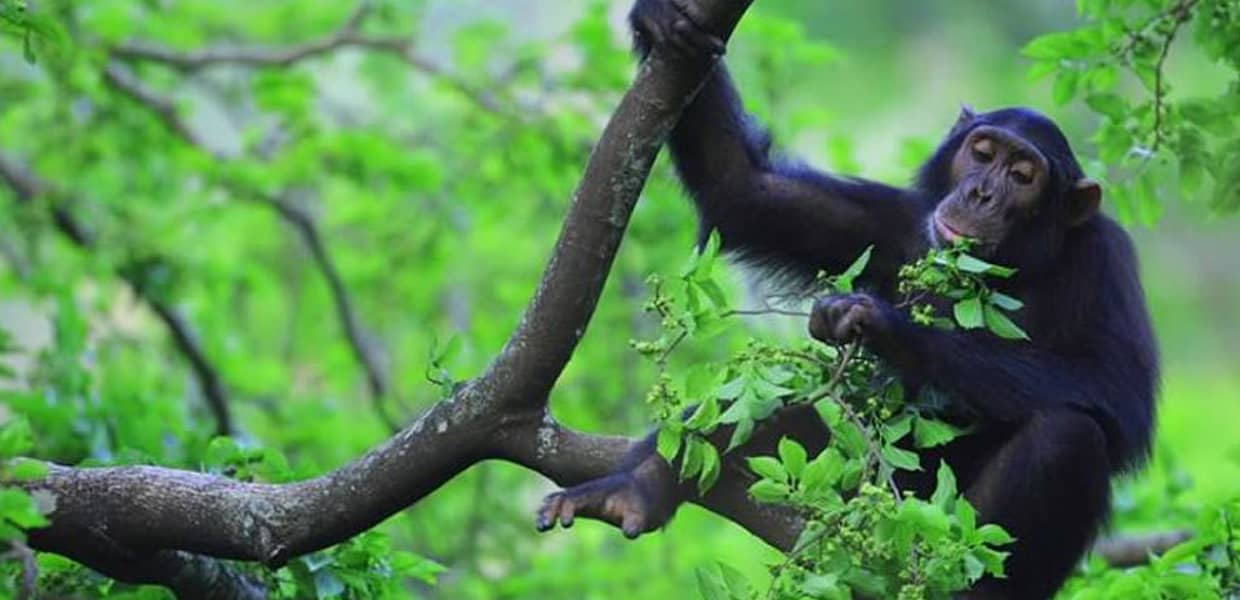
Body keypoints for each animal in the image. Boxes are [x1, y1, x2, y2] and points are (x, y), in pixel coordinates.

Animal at [535, 2, 1160, 597]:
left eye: (1023, 175)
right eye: (982, 153)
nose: (982, 192)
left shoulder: (1107, 262)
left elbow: (1114, 389)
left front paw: (878, 323)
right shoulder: (895, 224)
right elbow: (745, 189)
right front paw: (665, 19)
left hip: (944, 528)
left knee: (1068, 437)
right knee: (781, 399)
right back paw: (632, 491)